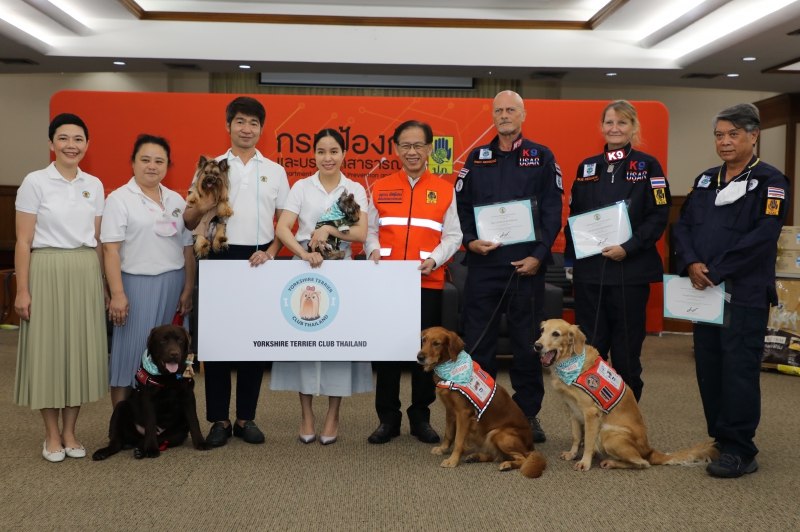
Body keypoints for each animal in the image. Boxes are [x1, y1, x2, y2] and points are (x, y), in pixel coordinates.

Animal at [92, 324, 211, 462]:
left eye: (180, 339)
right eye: (162, 340)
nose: (174, 354)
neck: (168, 378)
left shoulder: (188, 397)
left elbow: (194, 421)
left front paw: (200, 442)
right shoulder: (148, 400)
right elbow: (150, 424)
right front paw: (151, 449)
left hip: (180, 427)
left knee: (157, 438)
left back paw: (140, 450)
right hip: (120, 408)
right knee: (116, 442)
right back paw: (104, 452)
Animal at [416, 328, 548, 478]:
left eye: (436, 343)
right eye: (424, 340)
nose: (419, 357)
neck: (451, 367)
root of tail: (531, 447)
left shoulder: (463, 414)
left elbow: (458, 440)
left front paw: (453, 460)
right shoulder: (450, 410)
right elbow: (448, 434)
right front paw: (443, 449)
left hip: (500, 434)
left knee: (522, 458)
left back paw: (507, 464)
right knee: (498, 456)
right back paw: (476, 457)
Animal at [536, 318, 716, 472]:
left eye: (556, 334)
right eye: (542, 331)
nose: (537, 345)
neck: (571, 363)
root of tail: (649, 450)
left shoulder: (591, 413)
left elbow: (588, 441)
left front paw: (585, 462)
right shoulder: (573, 410)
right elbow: (576, 436)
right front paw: (572, 454)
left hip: (608, 433)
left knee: (642, 463)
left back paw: (611, 462)